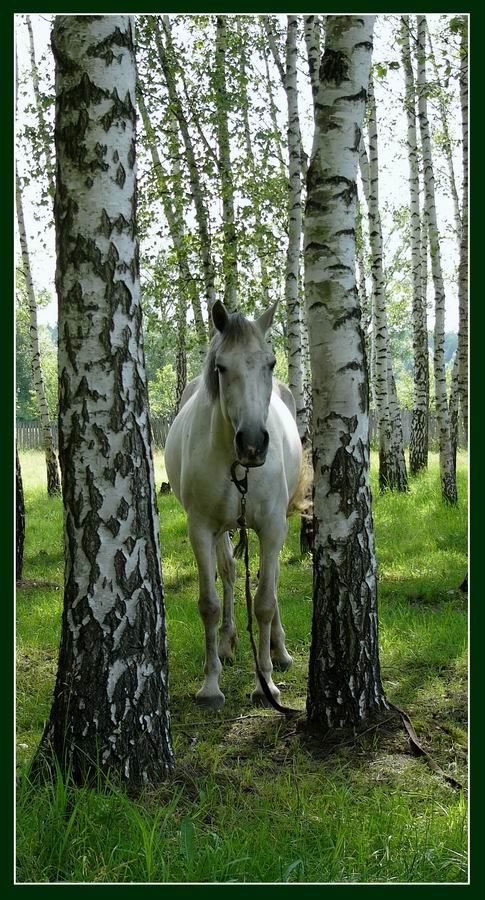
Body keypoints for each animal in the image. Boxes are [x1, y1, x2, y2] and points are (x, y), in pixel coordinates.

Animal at [165, 302, 302, 712]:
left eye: (271, 363)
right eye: (221, 367)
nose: (253, 443)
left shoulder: (272, 528)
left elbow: (264, 601)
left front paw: (266, 684)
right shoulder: (201, 528)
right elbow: (209, 603)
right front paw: (211, 685)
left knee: (268, 582)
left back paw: (279, 649)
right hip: (223, 528)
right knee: (228, 574)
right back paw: (227, 642)